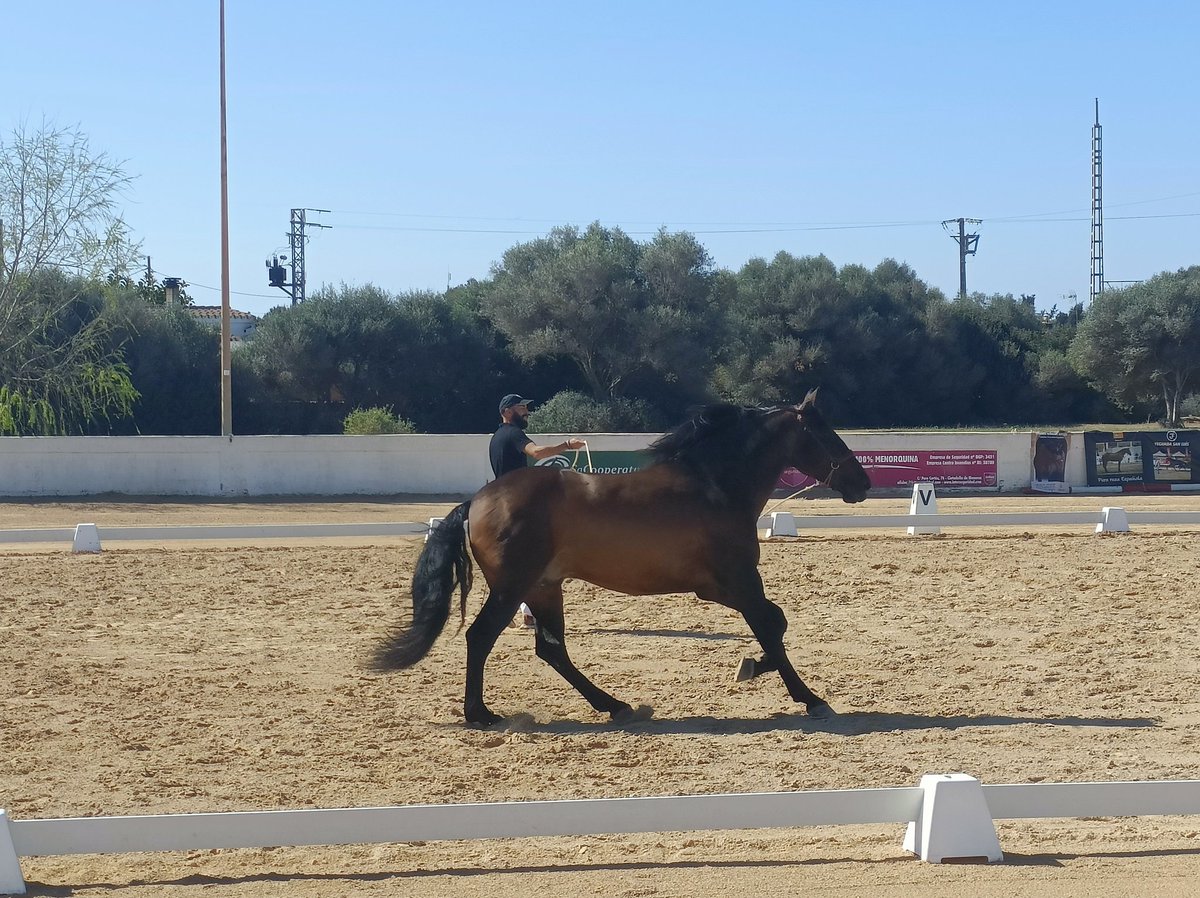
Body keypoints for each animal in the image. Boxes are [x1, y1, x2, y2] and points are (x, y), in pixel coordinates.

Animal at [372, 390, 871, 727]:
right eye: (824, 433)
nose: (862, 482)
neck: (713, 484)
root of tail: (477, 501)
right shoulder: (740, 581)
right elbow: (771, 627)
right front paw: (808, 697)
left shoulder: (717, 588)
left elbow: (777, 624)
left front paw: (750, 667)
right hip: (513, 588)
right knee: (482, 638)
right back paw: (481, 713)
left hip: (544, 588)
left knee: (551, 650)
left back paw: (613, 705)